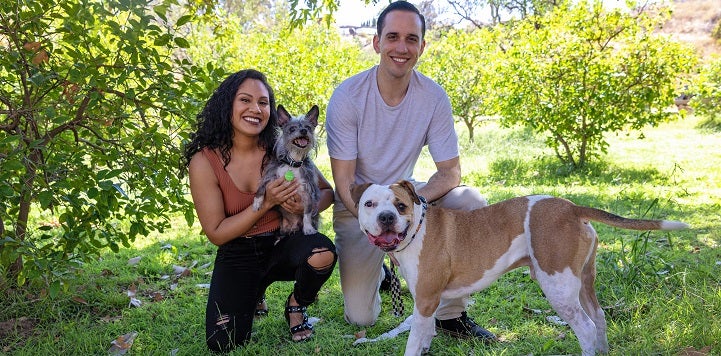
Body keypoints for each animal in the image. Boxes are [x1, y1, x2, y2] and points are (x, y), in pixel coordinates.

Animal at [253, 104, 320, 235]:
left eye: (308, 127)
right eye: (292, 128)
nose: (303, 131)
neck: (293, 163)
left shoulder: (308, 192)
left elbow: (307, 213)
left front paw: (308, 228)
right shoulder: (270, 176)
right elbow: (261, 188)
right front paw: (257, 203)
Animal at [352, 181, 688, 356]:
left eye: (400, 205)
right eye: (369, 204)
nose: (386, 218)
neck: (417, 229)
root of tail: (571, 207)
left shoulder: (424, 301)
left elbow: (412, 344)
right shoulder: (427, 306)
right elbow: (423, 339)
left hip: (558, 288)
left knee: (586, 328)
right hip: (582, 282)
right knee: (600, 317)